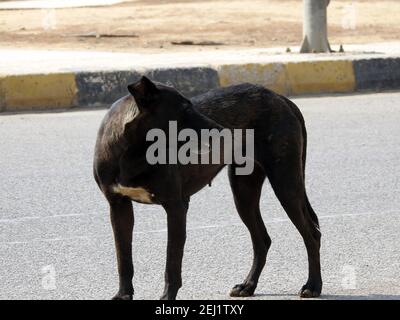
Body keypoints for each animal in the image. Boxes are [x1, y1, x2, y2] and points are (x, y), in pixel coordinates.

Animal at [94, 77, 322, 300]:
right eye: (185, 108)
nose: (224, 132)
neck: (133, 151)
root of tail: (280, 97)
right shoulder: (118, 207)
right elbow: (124, 259)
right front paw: (123, 295)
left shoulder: (176, 207)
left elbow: (172, 263)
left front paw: (167, 298)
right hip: (243, 193)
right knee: (262, 240)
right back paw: (248, 285)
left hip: (286, 185)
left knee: (311, 235)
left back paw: (313, 285)